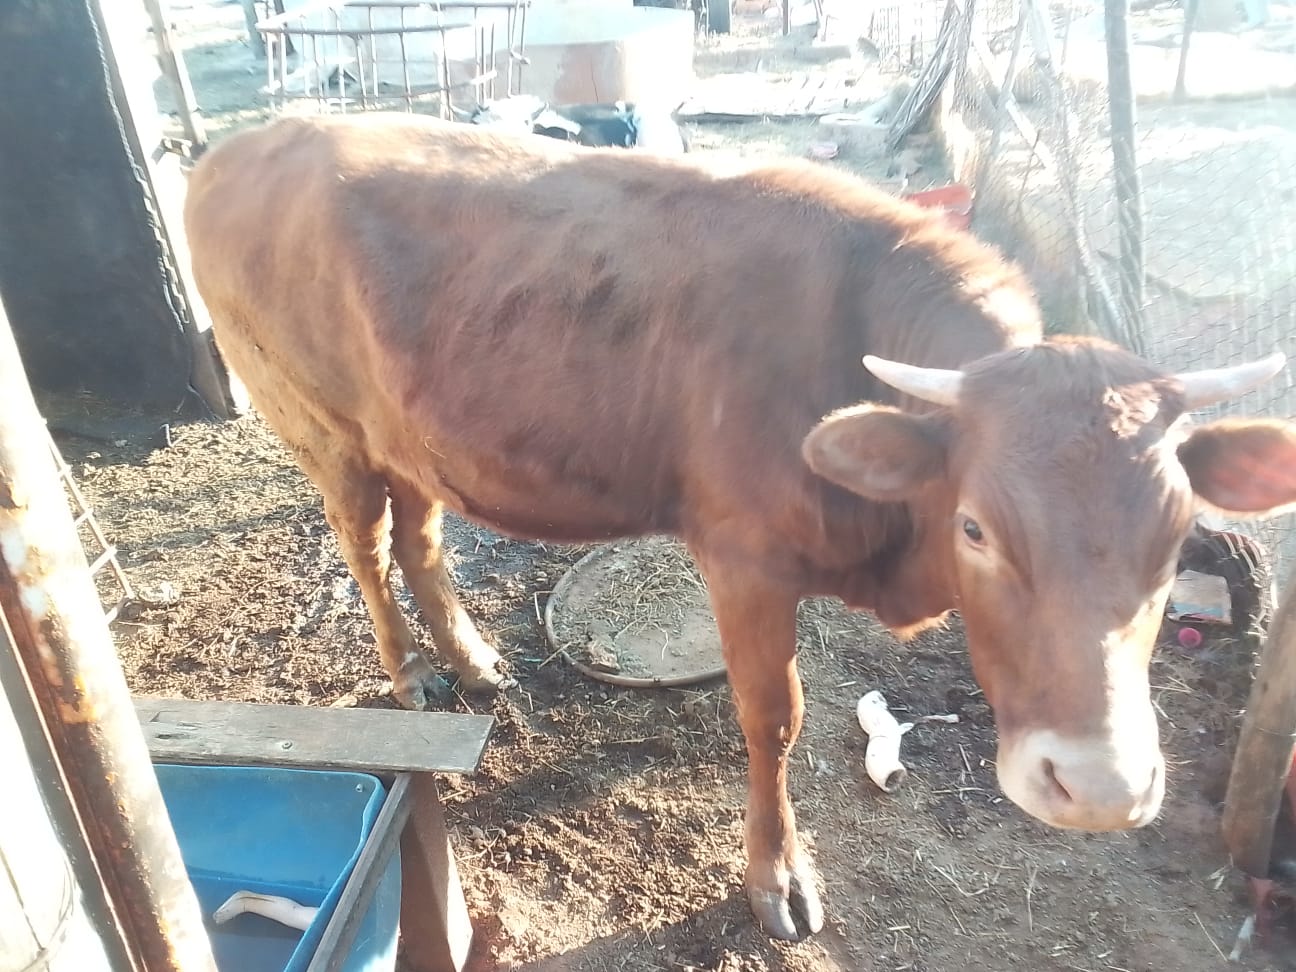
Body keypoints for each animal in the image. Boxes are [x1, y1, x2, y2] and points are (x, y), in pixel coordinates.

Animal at [182, 111, 1296, 942]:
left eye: (1176, 534)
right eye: (977, 528)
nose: (1101, 785)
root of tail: (241, 145)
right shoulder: (745, 557)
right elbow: (774, 718)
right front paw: (778, 877)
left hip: (412, 436)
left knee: (418, 540)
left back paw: (475, 660)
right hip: (323, 428)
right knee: (367, 547)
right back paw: (413, 673)